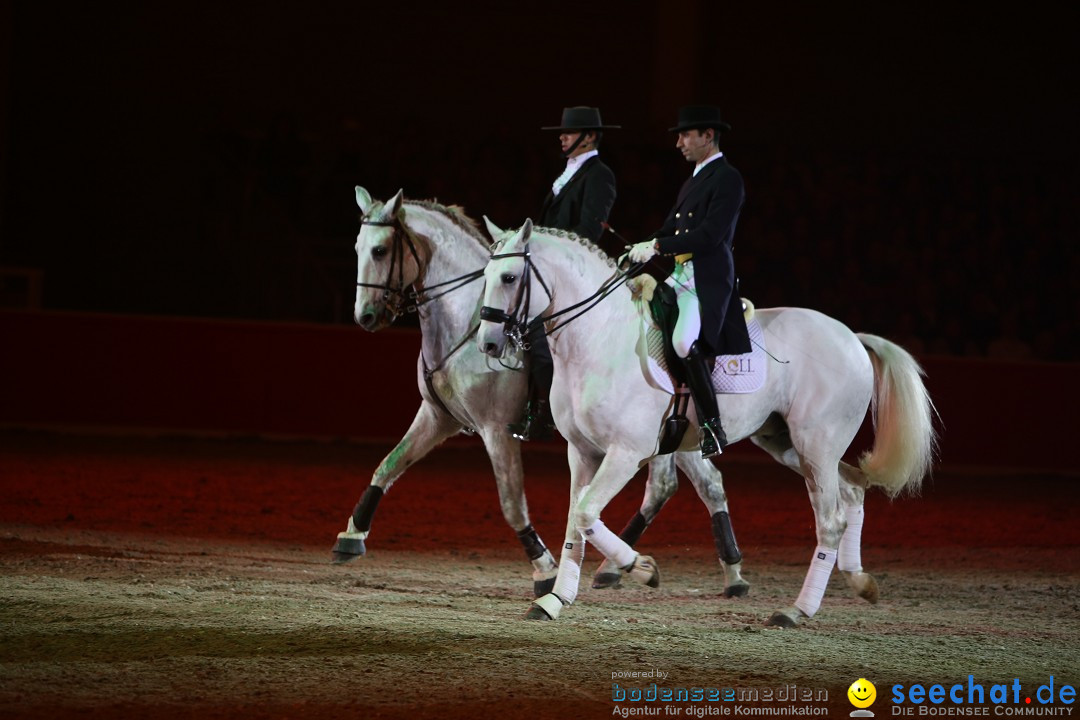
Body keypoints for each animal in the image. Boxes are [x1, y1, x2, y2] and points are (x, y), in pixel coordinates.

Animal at [336, 185, 751, 595]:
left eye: (379, 250)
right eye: (357, 247)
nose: (365, 316)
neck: (464, 323)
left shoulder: (496, 429)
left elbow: (511, 503)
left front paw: (545, 568)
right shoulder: (437, 415)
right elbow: (389, 465)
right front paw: (352, 536)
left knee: (679, 485)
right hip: (676, 433)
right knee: (699, 484)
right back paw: (719, 573)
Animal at [477, 218, 933, 626]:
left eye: (510, 277)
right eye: (484, 276)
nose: (488, 344)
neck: (598, 339)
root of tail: (852, 337)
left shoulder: (626, 453)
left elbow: (588, 514)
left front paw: (642, 568)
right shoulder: (582, 452)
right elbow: (576, 521)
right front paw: (554, 600)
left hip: (816, 446)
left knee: (831, 521)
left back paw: (795, 611)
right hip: (788, 444)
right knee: (853, 489)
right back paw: (859, 582)